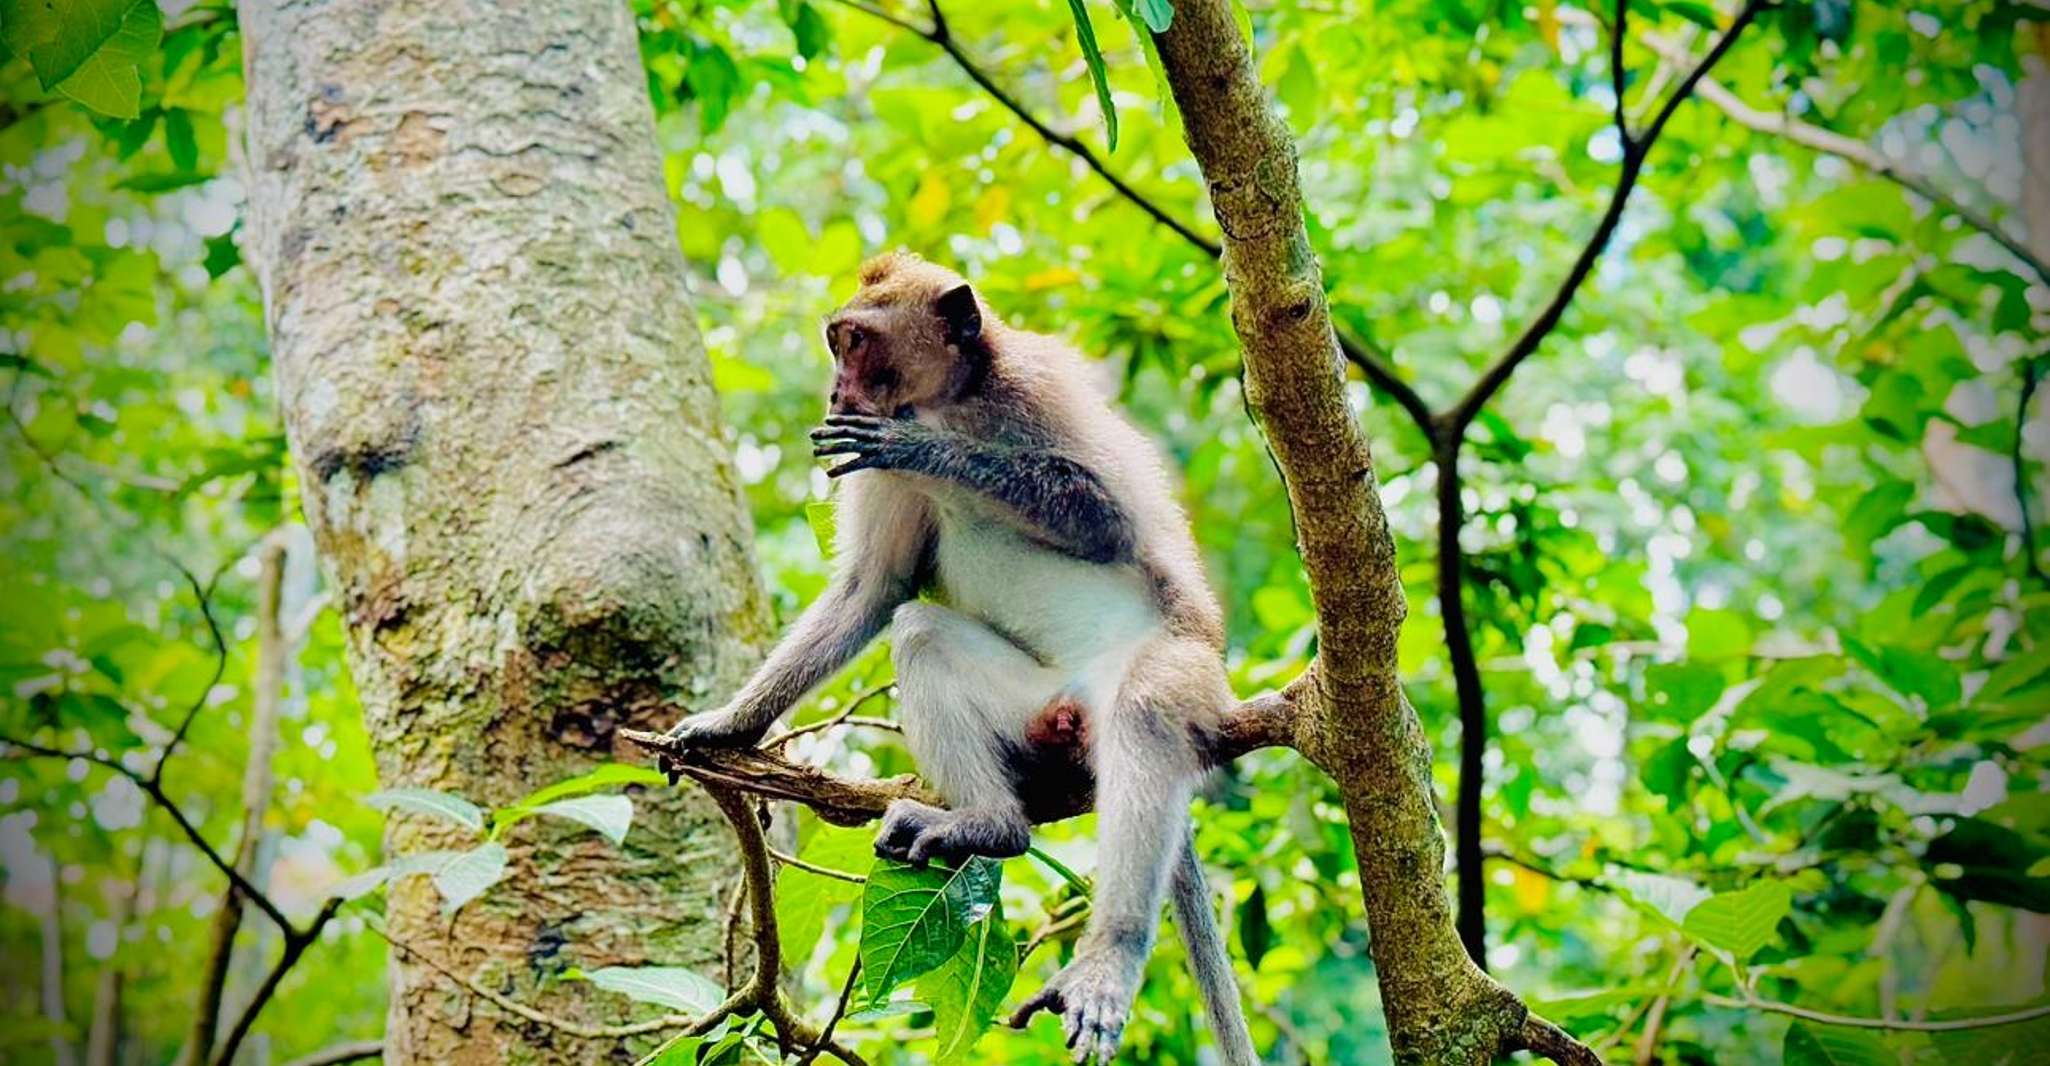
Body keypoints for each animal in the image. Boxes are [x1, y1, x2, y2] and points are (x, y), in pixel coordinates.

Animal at [662, 252, 1257, 1065]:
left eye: (854, 342)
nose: (835, 390)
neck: (950, 400)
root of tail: (1078, 705)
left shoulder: (1037, 390)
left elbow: (1103, 517)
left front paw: (929, 453)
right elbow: (875, 590)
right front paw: (728, 726)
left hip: (1183, 669)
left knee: (1145, 713)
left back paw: (1108, 953)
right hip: (1036, 708)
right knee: (921, 634)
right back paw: (991, 825)